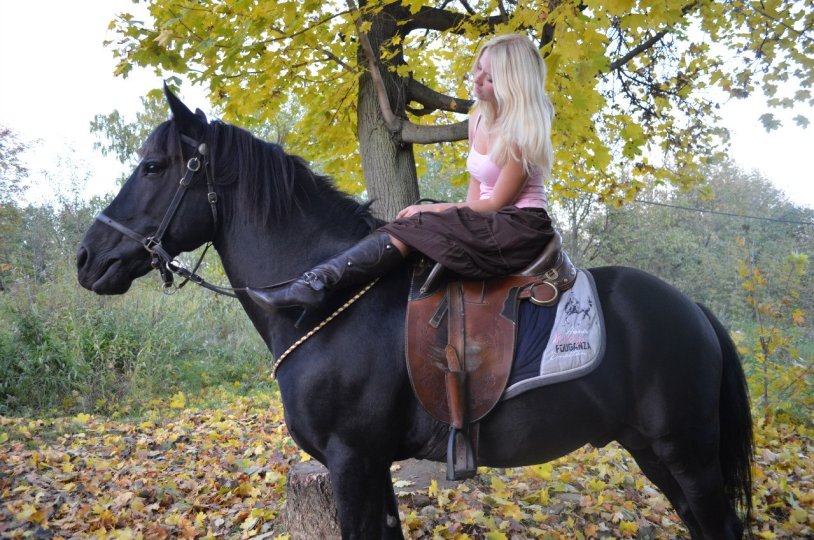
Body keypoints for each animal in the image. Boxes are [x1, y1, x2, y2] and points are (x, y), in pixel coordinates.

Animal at [76, 87, 754, 539]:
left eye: (153, 167)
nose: (88, 257)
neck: (329, 307)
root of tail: (692, 307)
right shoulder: (372, 466)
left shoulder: (352, 462)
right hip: (652, 450)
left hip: (687, 452)